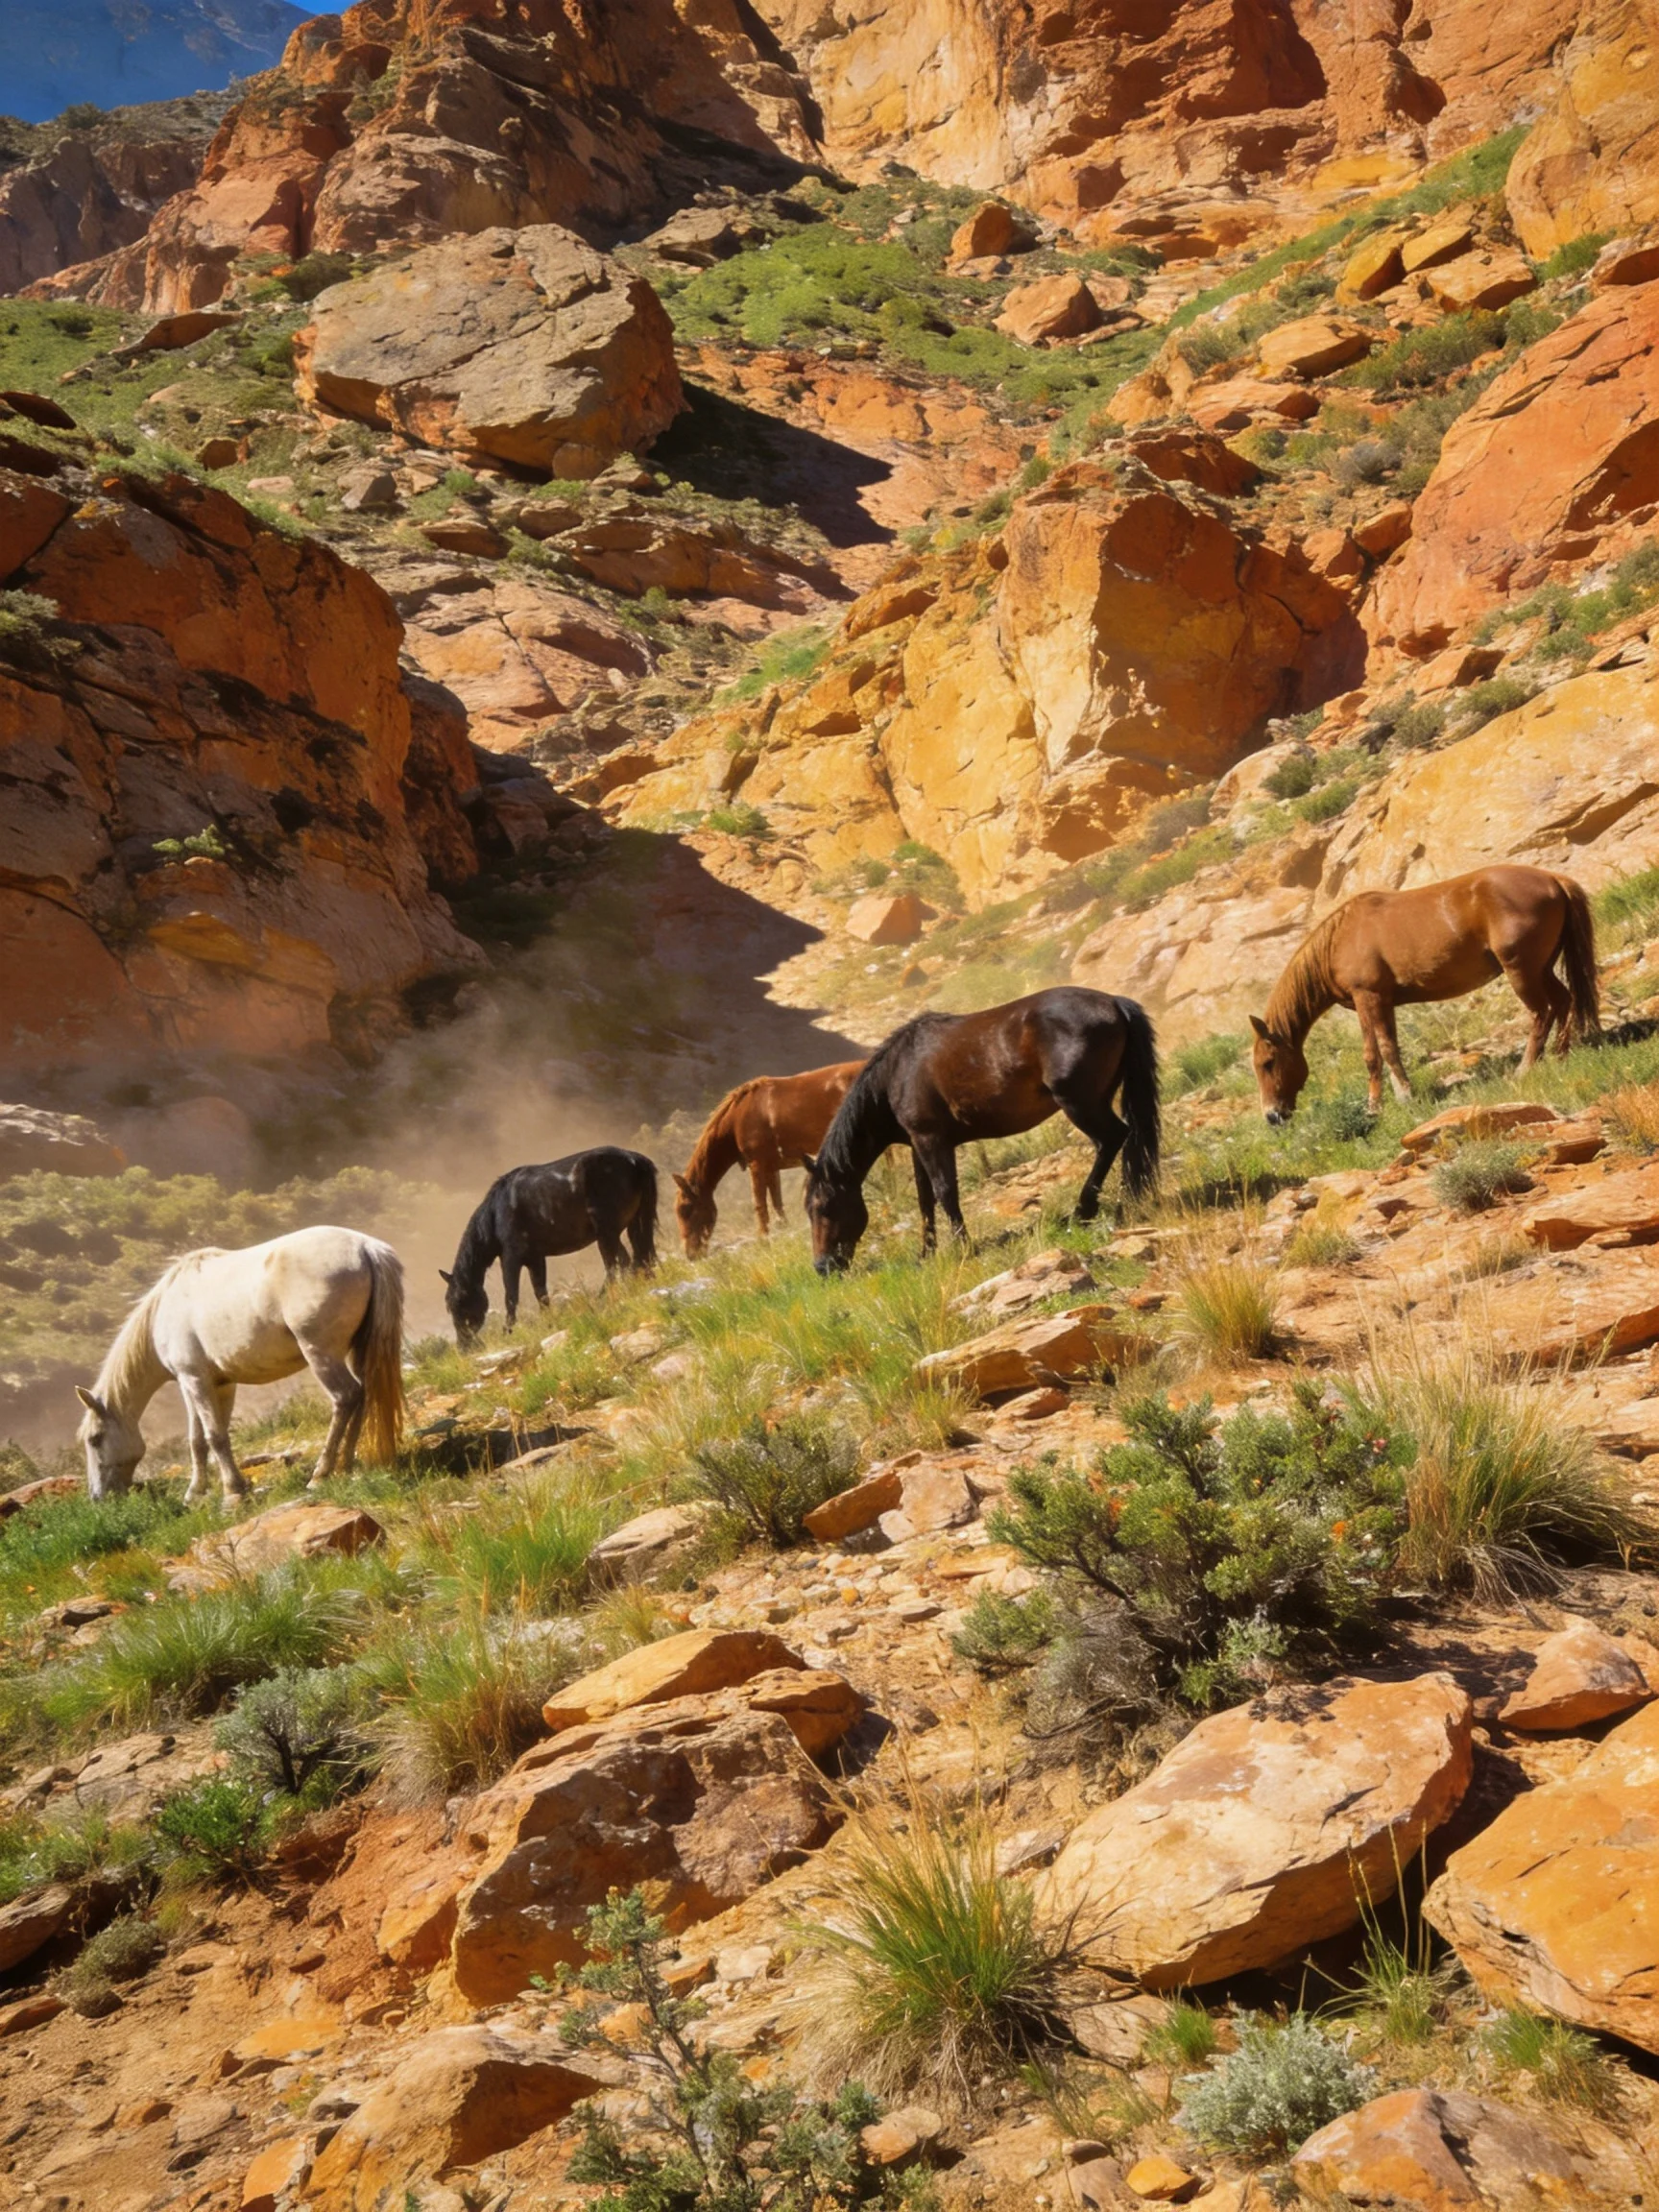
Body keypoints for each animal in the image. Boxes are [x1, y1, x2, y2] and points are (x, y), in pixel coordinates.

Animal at [75, 1226, 405, 1505]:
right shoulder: (218, 1384)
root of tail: (365, 1246)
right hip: (356, 1351)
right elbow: (201, 1439)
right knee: (363, 1395)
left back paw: (321, 1475)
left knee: (346, 1398)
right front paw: (197, 1493)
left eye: (95, 1439)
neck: (164, 1311)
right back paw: (346, 1465)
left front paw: (232, 1492)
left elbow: (213, 1437)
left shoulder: (192, 1380)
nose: (97, 1497)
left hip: (320, 1354)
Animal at [442, 1147, 657, 1344]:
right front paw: (549, 1323)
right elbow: (541, 1293)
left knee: (614, 1266)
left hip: (606, 1233)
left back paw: (601, 1300)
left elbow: (511, 1296)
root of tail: (634, 1159)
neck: (497, 1212)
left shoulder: (511, 1259)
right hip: (622, 1228)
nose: (464, 1346)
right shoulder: (535, 1259)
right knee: (632, 1259)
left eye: (460, 1299)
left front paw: (508, 1331)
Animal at [673, 1061, 867, 1256]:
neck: (737, 1118)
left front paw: (763, 1240)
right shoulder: (771, 1168)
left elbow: (760, 1206)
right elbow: (777, 1203)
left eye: (686, 1209)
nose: (690, 1254)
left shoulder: (757, 1165)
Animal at [803, 986, 1160, 1274]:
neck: (896, 1074)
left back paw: (1087, 1210)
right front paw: (926, 1253)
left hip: (1079, 1103)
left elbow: (945, 1192)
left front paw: (963, 1247)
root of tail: (1112, 1002)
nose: (822, 1267)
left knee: (1111, 1139)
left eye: (823, 1207)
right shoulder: (918, 1144)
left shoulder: (932, 1140)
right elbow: (925, 1199)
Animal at [1249, 865, 1601, 1123]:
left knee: (1541, 1012)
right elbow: (1391, 1047)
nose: (1272, 1116)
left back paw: (1525, 1068)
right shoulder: (1384, 1002)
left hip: (1522, 971)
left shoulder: (1368, 998)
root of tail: (1553, 879)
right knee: (1563, 1001)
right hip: (1542, 968)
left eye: (1268, 1062)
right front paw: (1402, 1093)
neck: (1339, 940)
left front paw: (1381, 1104)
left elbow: (1375, 1053)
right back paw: (1560, 1056)